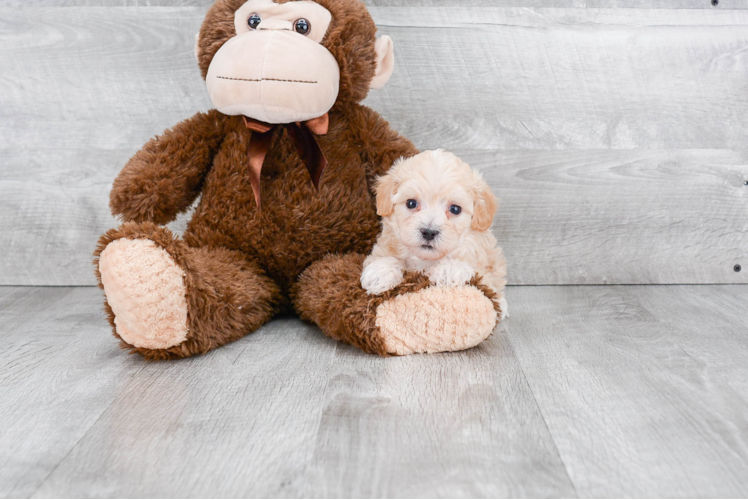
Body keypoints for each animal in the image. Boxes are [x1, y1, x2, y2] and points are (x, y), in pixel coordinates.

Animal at [362, 149, 508, 316]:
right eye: (411, 203)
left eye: (455, 209)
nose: (429, 232)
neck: (425, 259)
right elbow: (386, 255)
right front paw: (380, 272)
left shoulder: (482, 261)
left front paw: (449, 270)